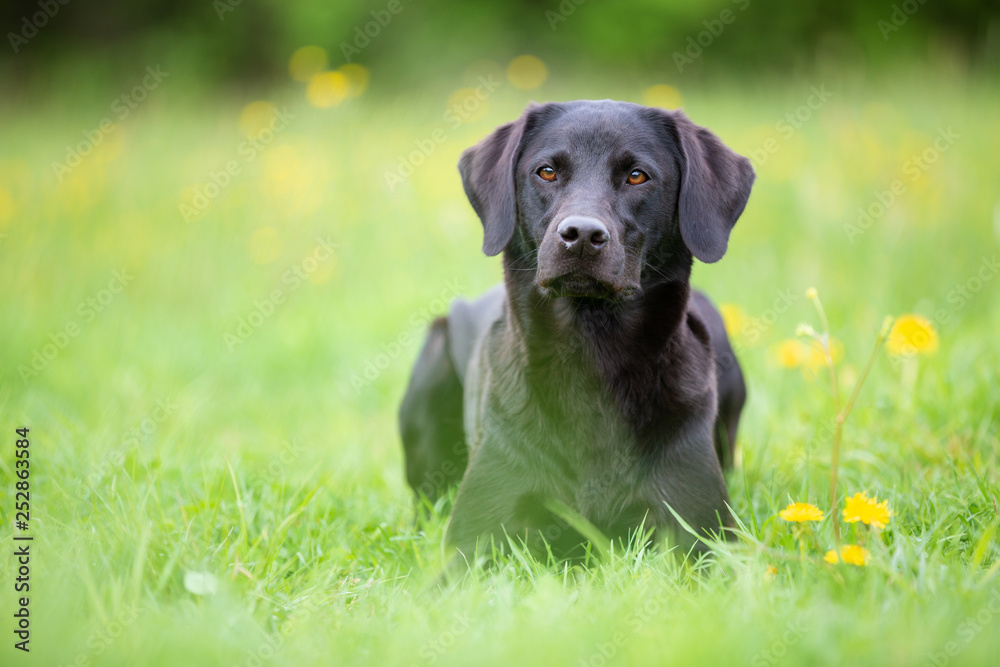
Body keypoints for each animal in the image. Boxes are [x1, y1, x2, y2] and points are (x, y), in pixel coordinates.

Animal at [398, 100, 752, 560]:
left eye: (637, 175)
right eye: (547, 171)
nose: (581, 234)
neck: (591, 352)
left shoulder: (702, 534)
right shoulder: (474, 538)